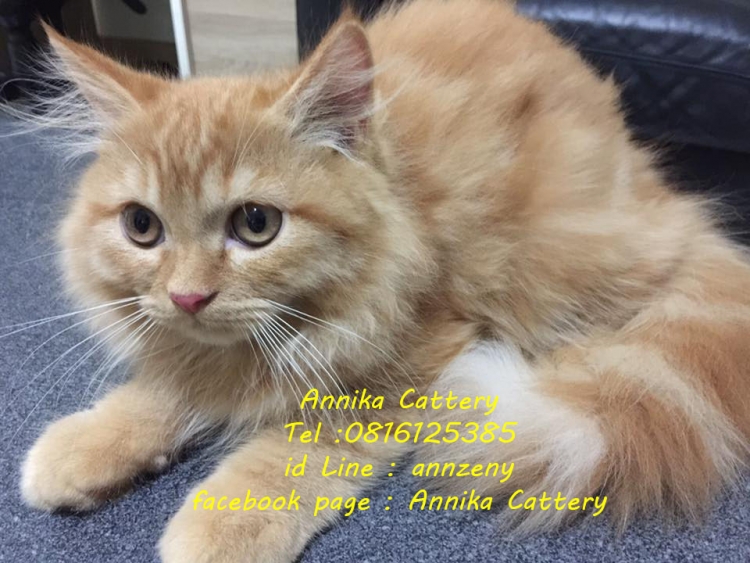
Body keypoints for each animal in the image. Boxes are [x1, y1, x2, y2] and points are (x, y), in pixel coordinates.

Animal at [18, 0, 750, 561]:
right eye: (142, 226)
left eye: (256, 224)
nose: (188, 296)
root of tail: (656, 187)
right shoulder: (193, 348)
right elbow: (163, 389)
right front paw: (88, 444)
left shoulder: (414, 357)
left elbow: (289, 452)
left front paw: (218, 525)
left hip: (554, 262)